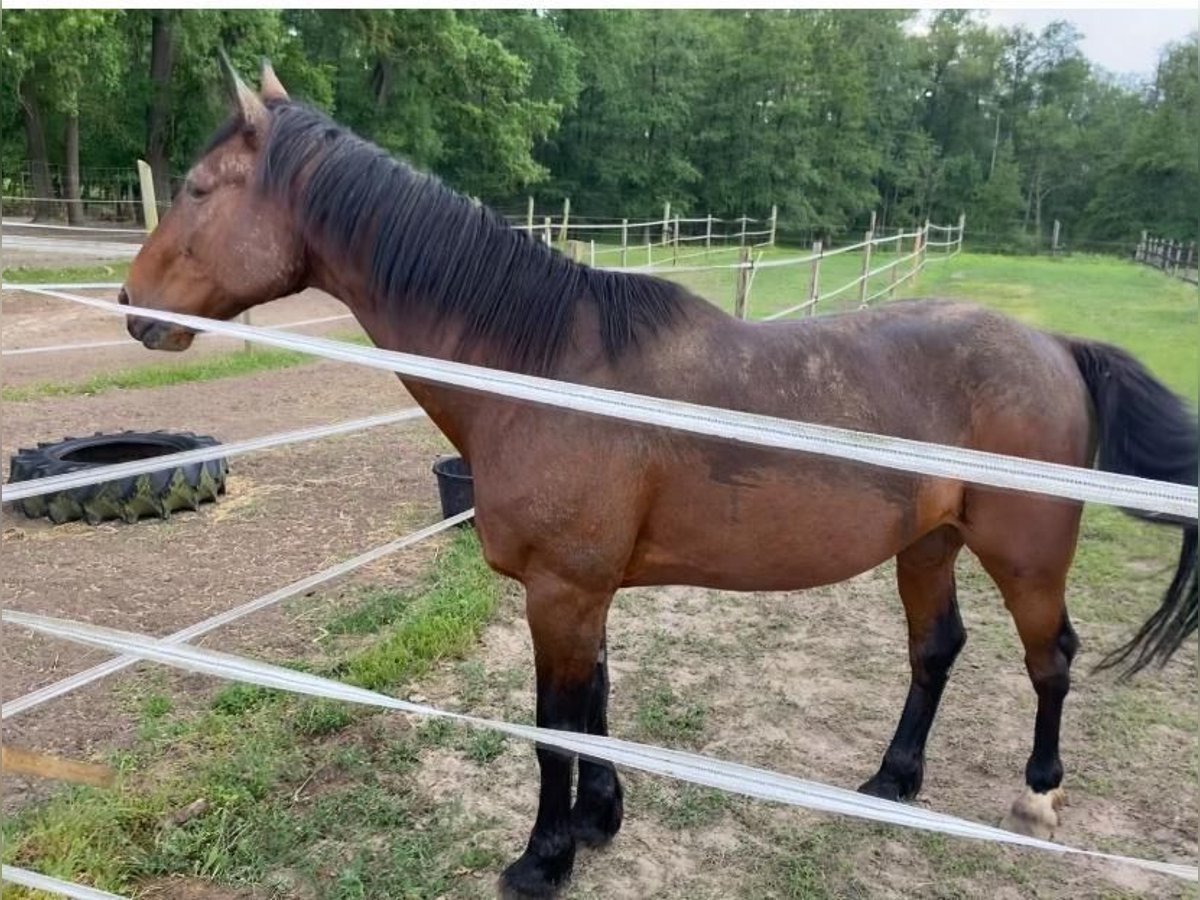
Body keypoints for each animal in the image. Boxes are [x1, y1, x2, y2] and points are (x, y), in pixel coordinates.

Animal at [117, 60, 1195, 897]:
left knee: (1050, 657)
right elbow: (596, 709)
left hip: (1024, 551)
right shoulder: (584, 591)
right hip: (927, 544)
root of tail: (1054, 346)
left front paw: (543, 860)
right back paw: (893, 780)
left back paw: (1038, 793)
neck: (544, 364)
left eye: (201, 189)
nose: (131, 305)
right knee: (937, 650)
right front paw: (598, 823)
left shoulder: (560, 590)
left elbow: (556, 728)